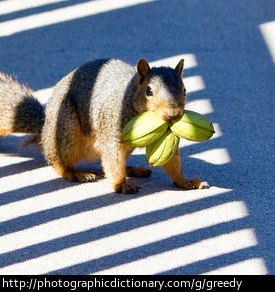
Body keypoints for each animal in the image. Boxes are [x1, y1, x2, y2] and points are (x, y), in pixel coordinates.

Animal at [0, 58, 208, 193]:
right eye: (149, 91)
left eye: (184, 89)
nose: (173, 115)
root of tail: (44, 128)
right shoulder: (110, 129)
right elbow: (112, 157)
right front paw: (121, 184)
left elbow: (172, 161)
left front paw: (185, 181)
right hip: (66, 128)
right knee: (59, 162)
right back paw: (77, 173)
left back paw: (132, 169)